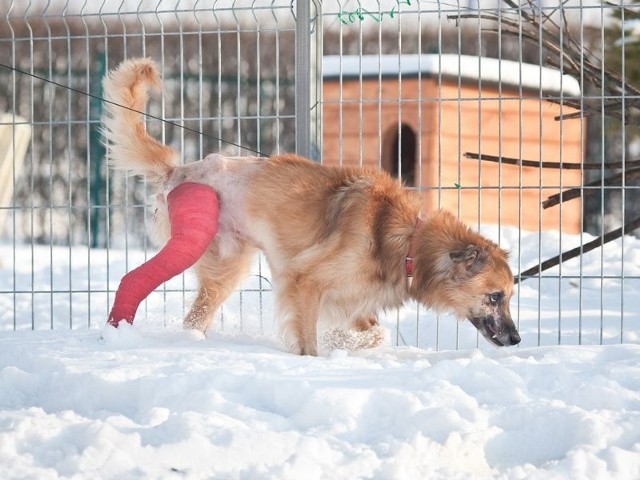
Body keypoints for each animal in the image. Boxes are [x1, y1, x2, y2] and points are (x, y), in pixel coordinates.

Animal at [101, 58, 520, 354]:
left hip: (226, 267)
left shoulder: (351, 301)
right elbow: (319, 340)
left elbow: (373, 332)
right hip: (198, 243)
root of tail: (180, 169)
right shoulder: (305, 281)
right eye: (495, 297)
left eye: (509, 297)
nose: (516, 339)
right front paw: (319, 358)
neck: (405, 241)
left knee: (197, 316)